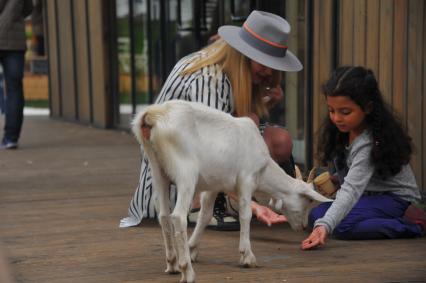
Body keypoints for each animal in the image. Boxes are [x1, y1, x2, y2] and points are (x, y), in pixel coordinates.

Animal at [131, 101, 332, 283]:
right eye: (308, 201)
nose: (303, 227)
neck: (264, 169)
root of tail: (153, 114)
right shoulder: (246, 179)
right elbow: (245, 215)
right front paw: (247, 256)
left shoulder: (213, 186)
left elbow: (205, 215)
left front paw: (192, 249)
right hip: (186, 173)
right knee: (178, 217)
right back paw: (187, 271)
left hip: (158, 171)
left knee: (164, 216)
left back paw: (172, 264)